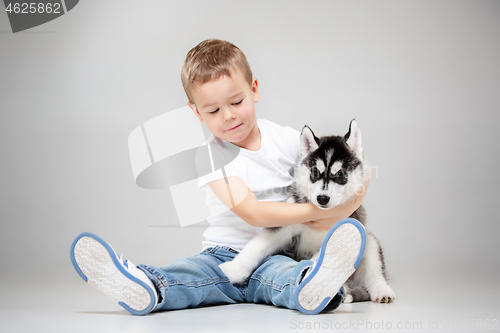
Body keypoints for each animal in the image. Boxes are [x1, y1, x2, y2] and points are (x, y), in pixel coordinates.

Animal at [219, 120, 394, 304]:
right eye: (315, 172)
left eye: (340, 174)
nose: (322, 198)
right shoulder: (285, 223)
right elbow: (256, 247)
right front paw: (232, 270)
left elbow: (320, 256)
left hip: (369, 241)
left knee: (374, 272)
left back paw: (381, 291)